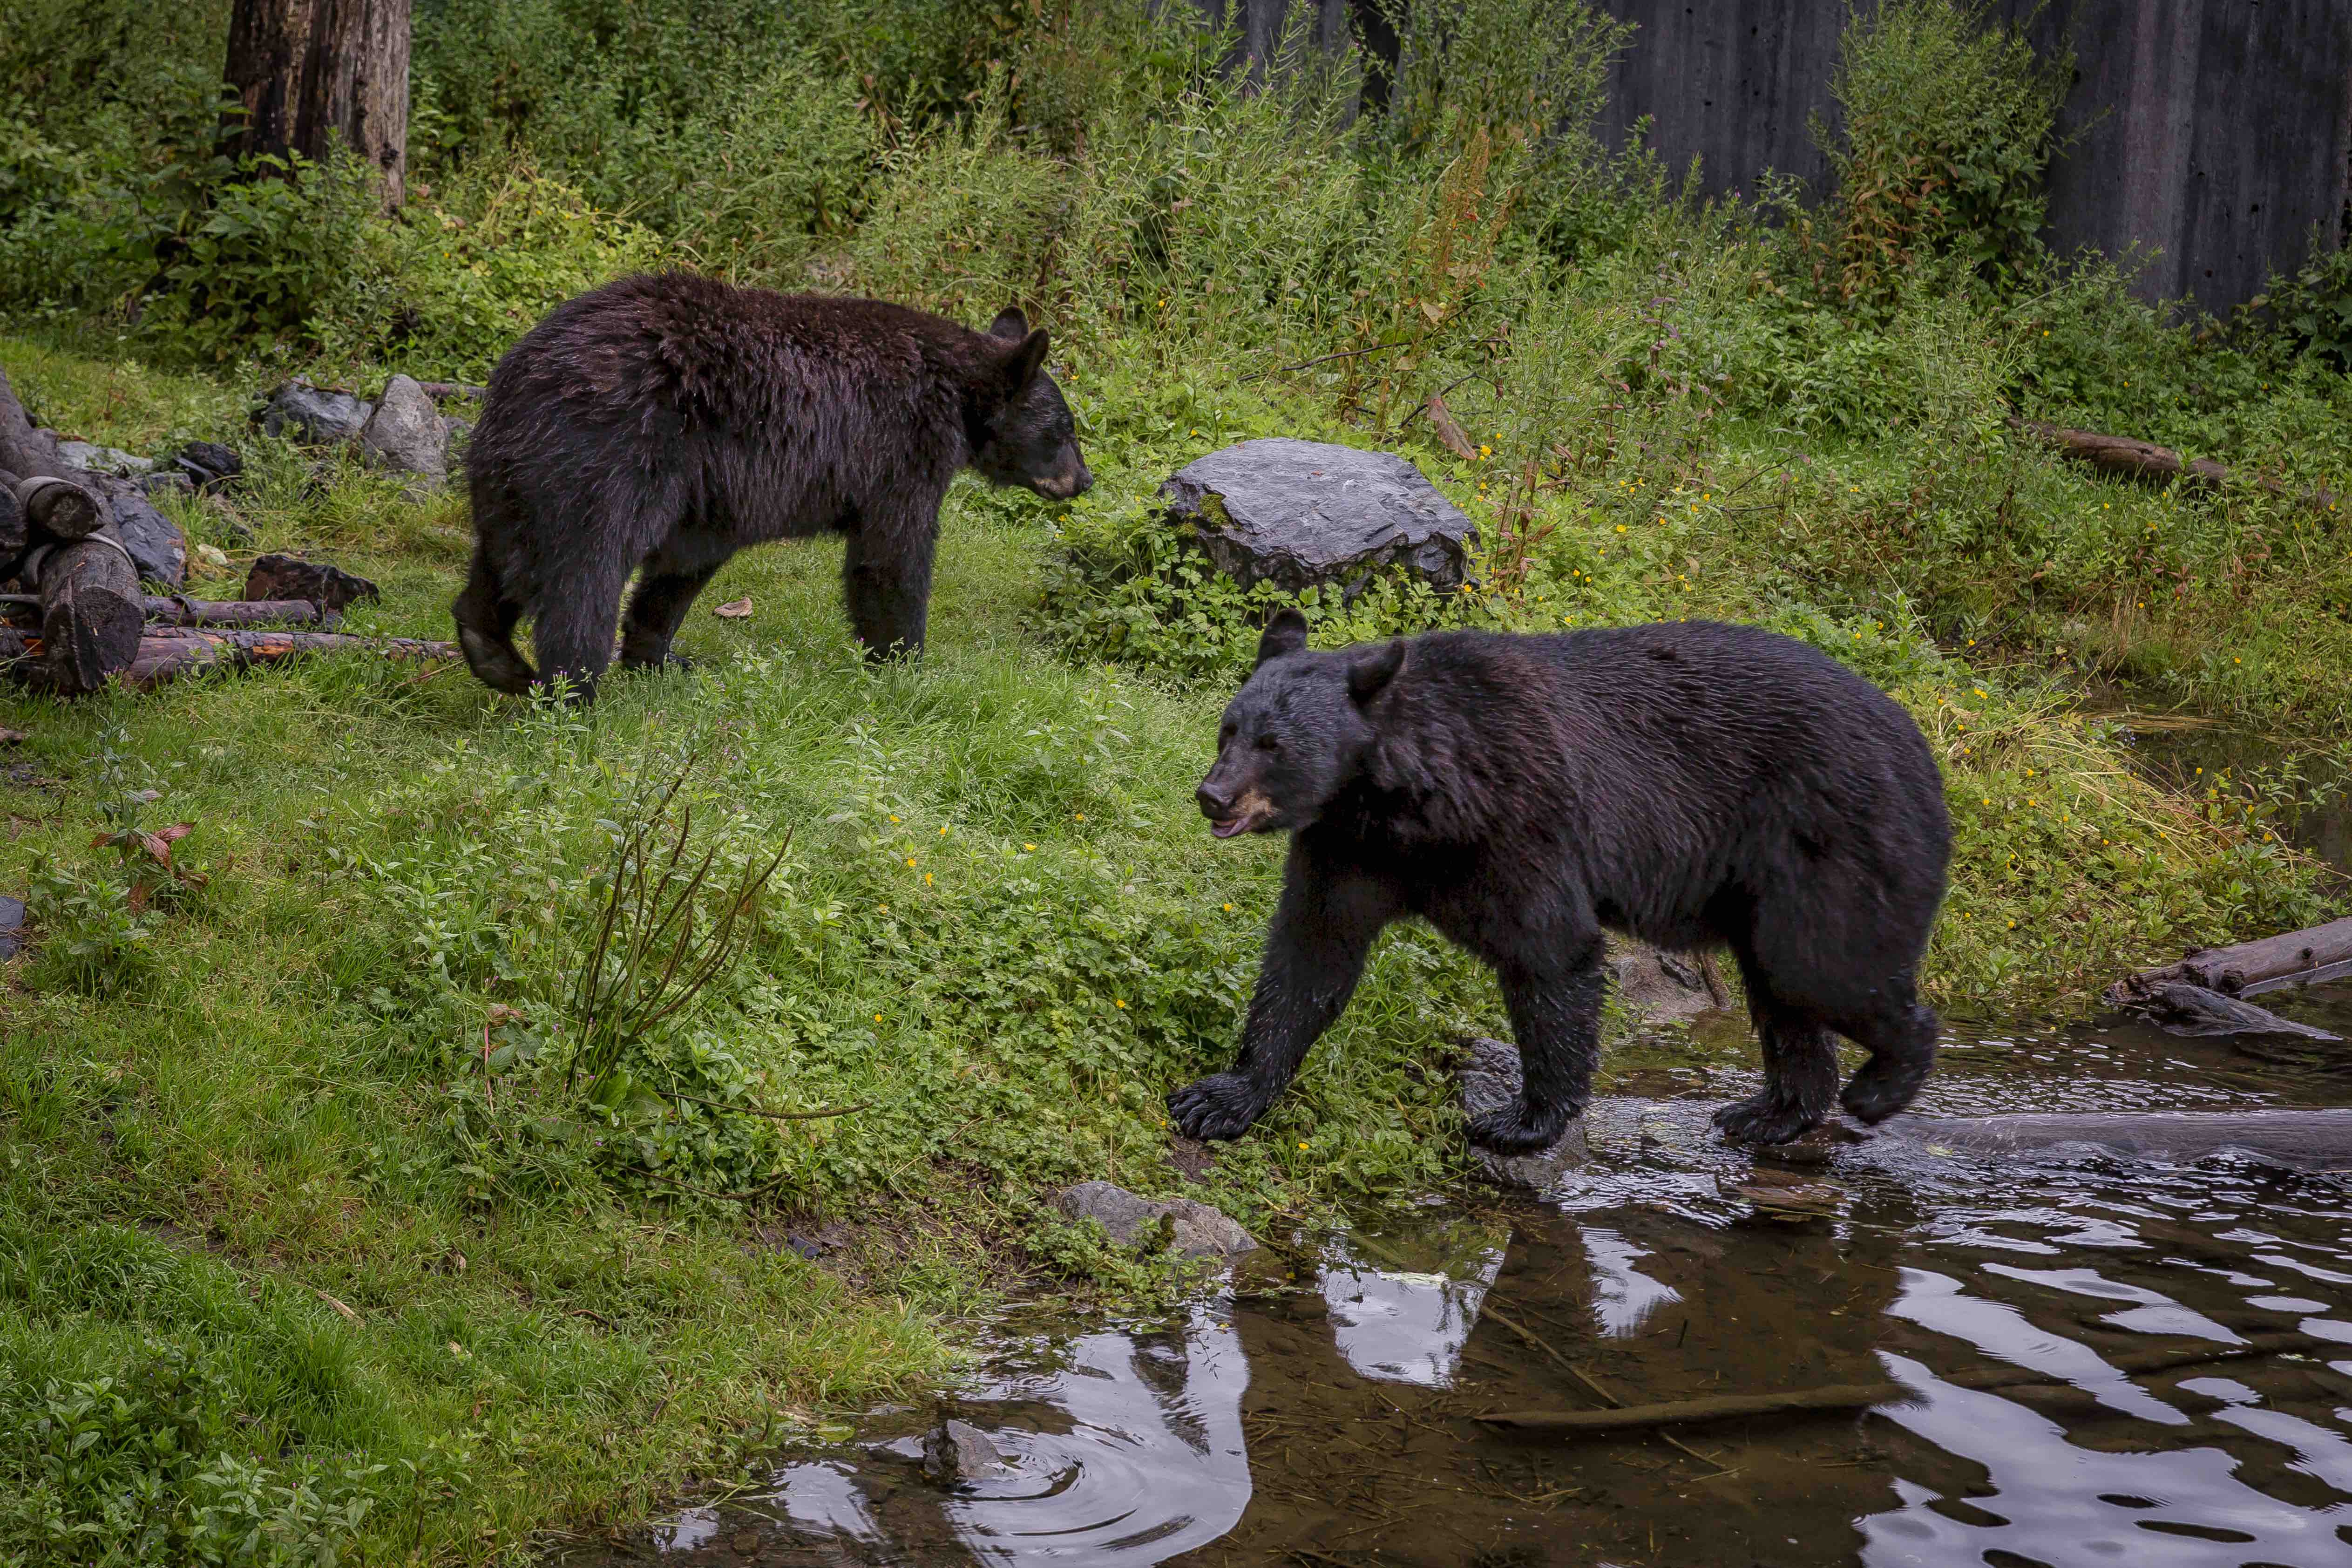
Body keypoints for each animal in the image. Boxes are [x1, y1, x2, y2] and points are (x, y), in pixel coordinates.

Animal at [453, 272, 1091, 699]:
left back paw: (493, 654)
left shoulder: (709, 493)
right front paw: (904, 663)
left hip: (517, 476)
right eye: (1063, 430)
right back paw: (572, 692)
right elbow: (891, 556)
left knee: (504, 560)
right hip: (608, 459)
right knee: (582, 578)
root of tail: (524, 377)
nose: (1083, 480)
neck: (955, 391)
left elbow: (682, 566)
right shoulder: (899, 451)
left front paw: (661, 657)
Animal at [1172, 610, 1952, 1152]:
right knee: (1785, 995)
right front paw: (1221, 1098)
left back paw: (1878, 1087)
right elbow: (1310, 953)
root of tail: (1921, 751)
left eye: (1273, 745)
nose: (1213, 796)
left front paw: (1519, 1120)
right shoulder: (1349, 848)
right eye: (1228, 729)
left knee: (1826, 970)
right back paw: (1768, 1114)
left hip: (1830, 844)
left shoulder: (1518, 820)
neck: (1403, 797)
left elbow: (1549, 952)